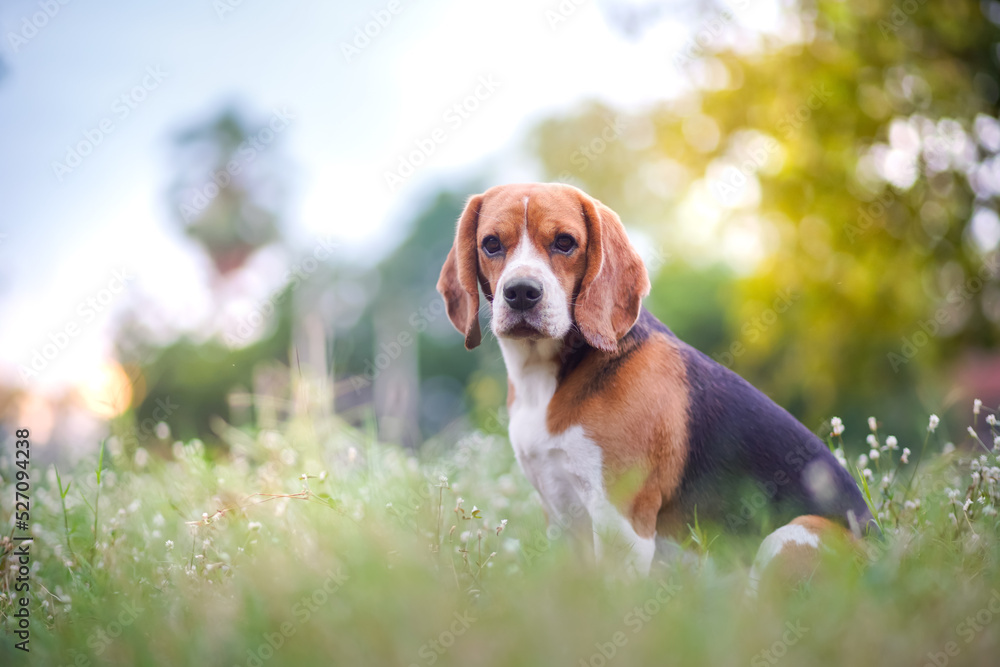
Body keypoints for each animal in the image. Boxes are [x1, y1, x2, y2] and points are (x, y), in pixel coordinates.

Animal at [438, 184, 876, 580]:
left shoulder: (620, 522)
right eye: (491, 244)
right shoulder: (561, 513)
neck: (544, 379)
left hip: (792, 535)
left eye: (565, 242)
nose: (521, 292)